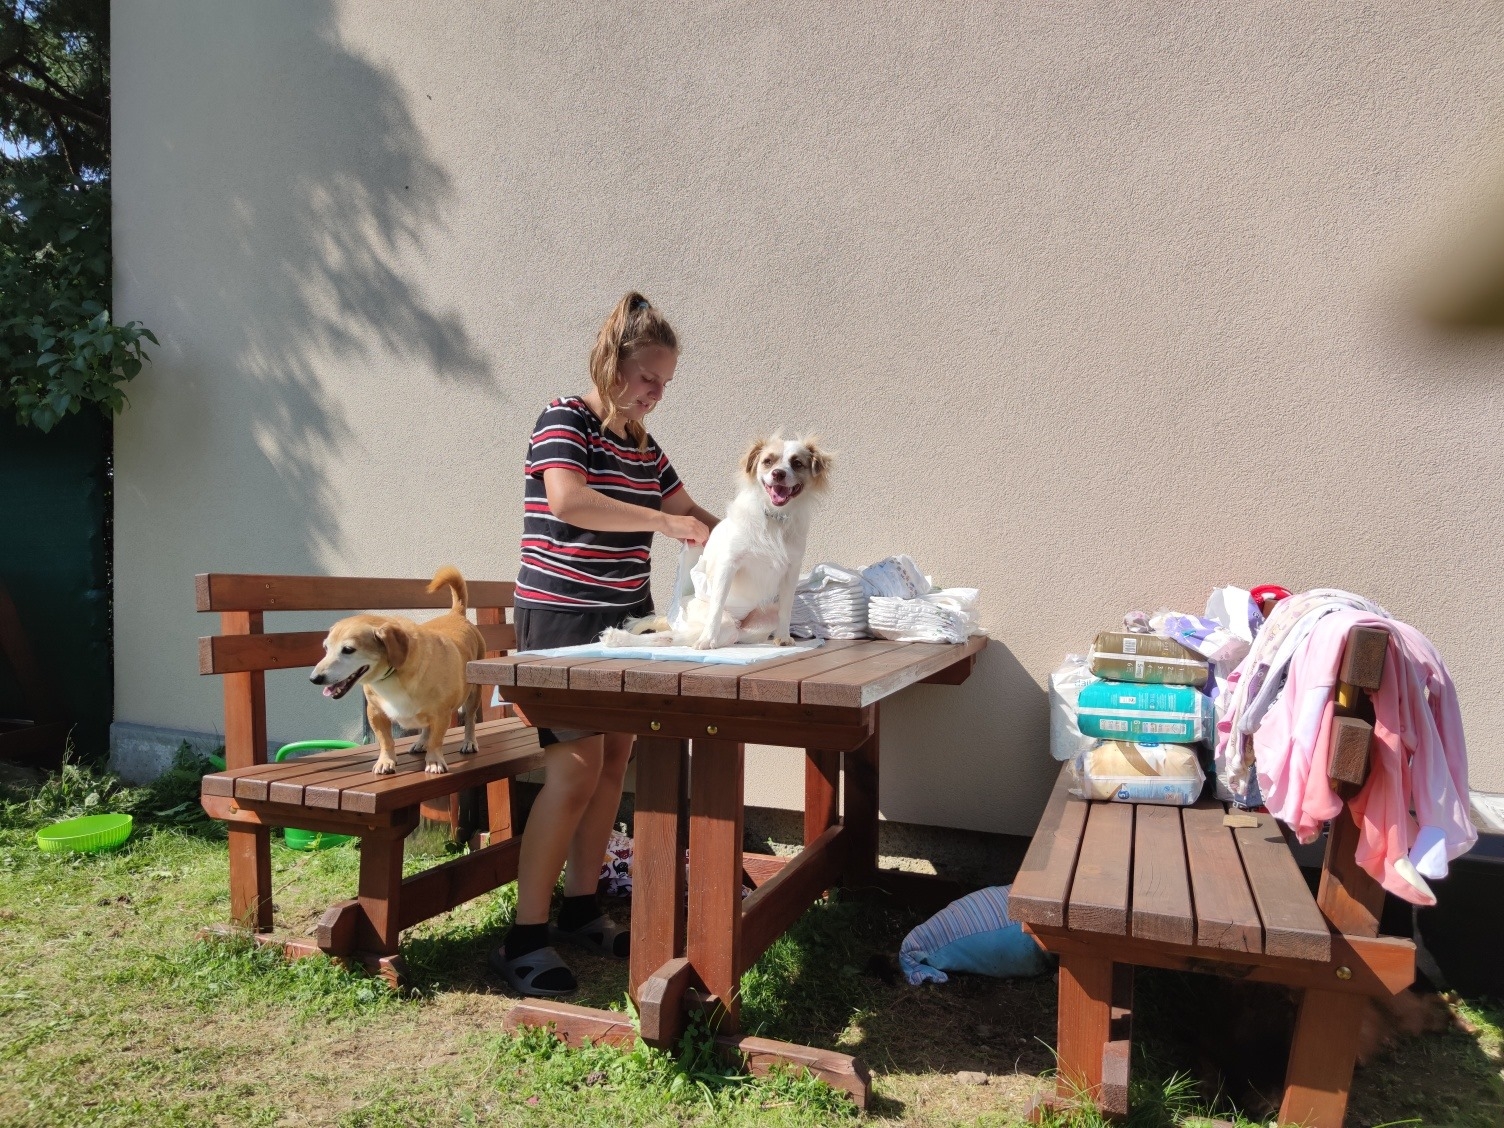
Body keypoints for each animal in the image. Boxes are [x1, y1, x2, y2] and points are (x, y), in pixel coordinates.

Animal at [308, 565, 485, 775]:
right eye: (326, 648)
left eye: (348, 650)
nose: (314, 678)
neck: (393, 676)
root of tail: (455, 614)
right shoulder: (375, 712)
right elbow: (386, 740)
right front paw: (386, 761)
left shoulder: (441, 714)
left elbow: (436, 740)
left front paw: (434, 761)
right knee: (426, 727)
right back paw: (421, 742)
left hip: (473, 694)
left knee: (470, 719)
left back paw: (469, 742)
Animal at [604, 434, 832, 650]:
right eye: (768, 461)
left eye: (797, 463)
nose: (778, 474)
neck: (774, 518)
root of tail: (739, 625)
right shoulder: (728, 565)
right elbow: (717, 605)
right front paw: (707, 640)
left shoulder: (791, 572)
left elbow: (787, 608)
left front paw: (783, 637)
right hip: (719, 620)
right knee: (678, 634)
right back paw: (617, 638)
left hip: (749, 626)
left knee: (672, 638)